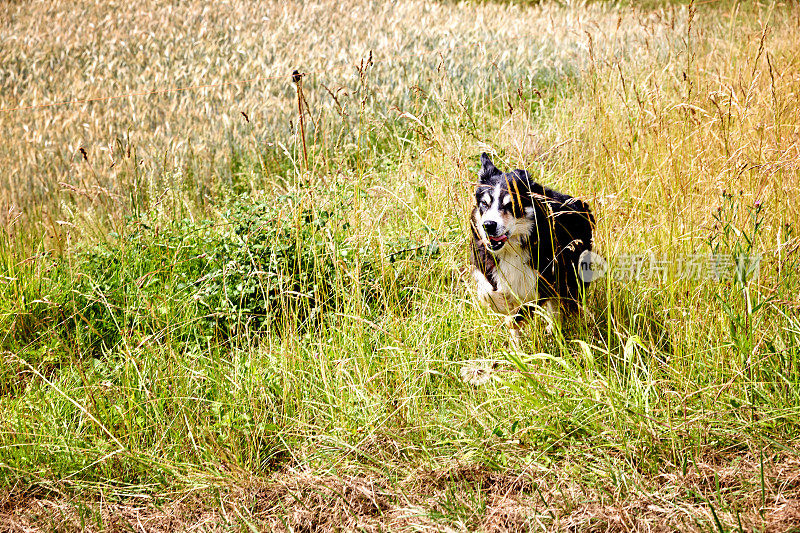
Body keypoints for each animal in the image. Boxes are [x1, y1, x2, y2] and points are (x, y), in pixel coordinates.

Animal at [468, 152, 592, 334]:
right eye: (484, 203)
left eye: (511, 204)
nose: (488, 225)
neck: (511, 249)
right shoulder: (487, 264)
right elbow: (488, 292)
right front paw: (502, 305)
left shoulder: (544, 280)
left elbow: (525, 309)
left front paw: (514, 318)